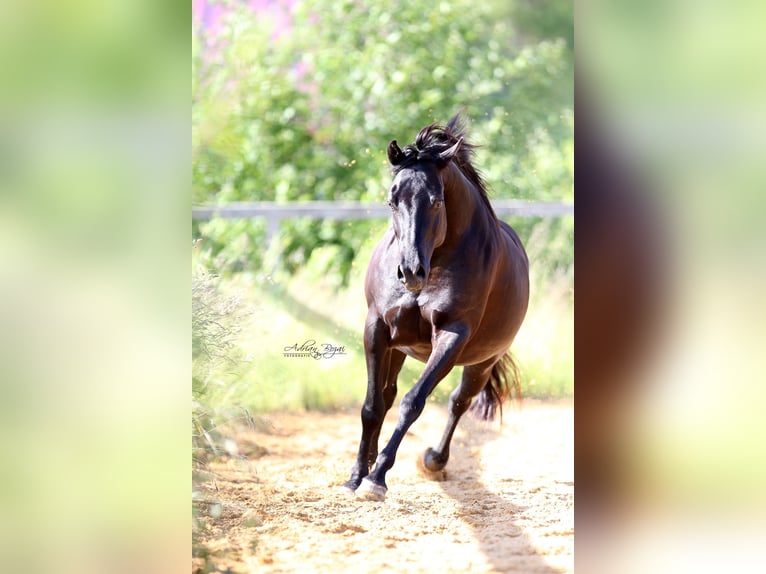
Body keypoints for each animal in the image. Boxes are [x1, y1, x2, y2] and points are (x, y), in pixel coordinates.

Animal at [342, 113, 530, 501]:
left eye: (436, 201)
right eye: (392, 200)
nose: (411, 272)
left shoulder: (451, 336)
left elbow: (413, 403)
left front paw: (376, 478)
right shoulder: (377, 328)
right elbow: (372, 406)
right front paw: (356, 476)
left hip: (482, 362)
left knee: (460, 401)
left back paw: (433, 460)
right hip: (398, 348)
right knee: (386, 395)